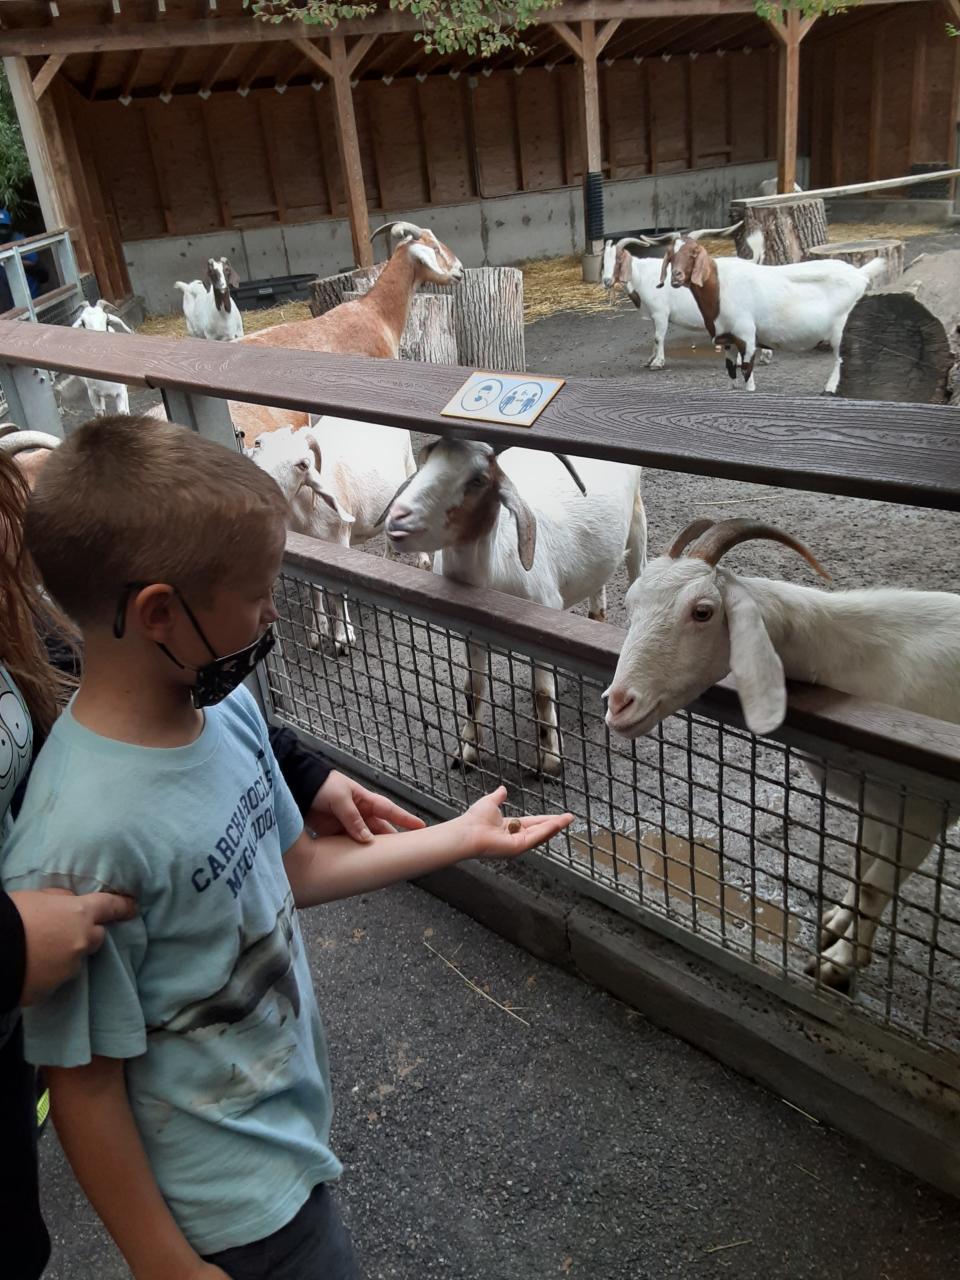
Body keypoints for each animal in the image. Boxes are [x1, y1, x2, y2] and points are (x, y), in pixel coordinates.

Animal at [248, 419, 427, 655]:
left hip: (409, 471)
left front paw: (343, 637)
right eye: (258, 443)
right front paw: (318, 631)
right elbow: (313, 589)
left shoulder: (339, 542)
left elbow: (337, 593)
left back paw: (422, 560)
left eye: (303, 464)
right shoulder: (305, 550)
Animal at [604, 232, 778, 371]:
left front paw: (657, 363)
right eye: (603, 262)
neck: (642, 276)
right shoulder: (654, 315)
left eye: (618, 259)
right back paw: (765, 357)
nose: (606, 281)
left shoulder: (661, 313)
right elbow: (654, 338)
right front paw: (650, 360)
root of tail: (752, 263)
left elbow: (658, 337)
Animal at [604, 517, 960, 988]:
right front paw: (837, 926)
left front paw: (839, 963)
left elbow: (874, 886)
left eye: (703, 611)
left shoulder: (921, 812)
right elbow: (859, 865)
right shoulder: (879, 802)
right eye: (631, 603)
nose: (618, 704)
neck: (862, 656)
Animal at [660, 231, 885, 386]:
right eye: (671, 255)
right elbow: (731, 374)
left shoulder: (746, 336)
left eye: (693, 254)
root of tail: (860, 274)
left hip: (842, 329)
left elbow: (747, 376)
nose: (676, 276)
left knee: (841, 360)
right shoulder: (728, 340)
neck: (720, 287)